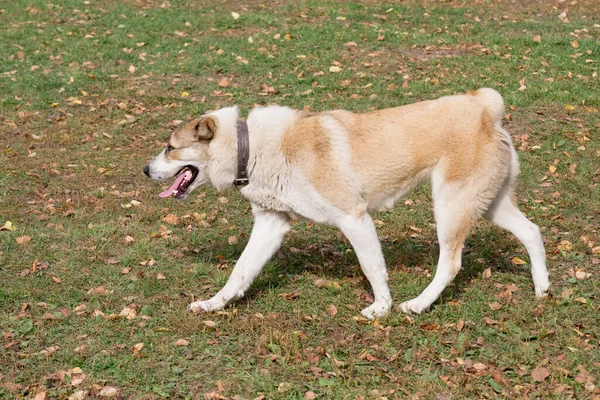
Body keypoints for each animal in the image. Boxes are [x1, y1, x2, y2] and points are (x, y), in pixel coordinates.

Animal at [144, 88, 548, 318]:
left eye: (169, 147)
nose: (146, 170)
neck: (253, 146)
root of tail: (484, 105)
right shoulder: (271, 224)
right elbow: (239, 272)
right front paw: (214, 304)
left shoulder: (355, 219)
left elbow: (373, 269)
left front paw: (382, 308)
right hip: (490, 204)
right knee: (532, 231)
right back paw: (542, 288)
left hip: (449, 206)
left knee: (451, 264)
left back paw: (417, 305)